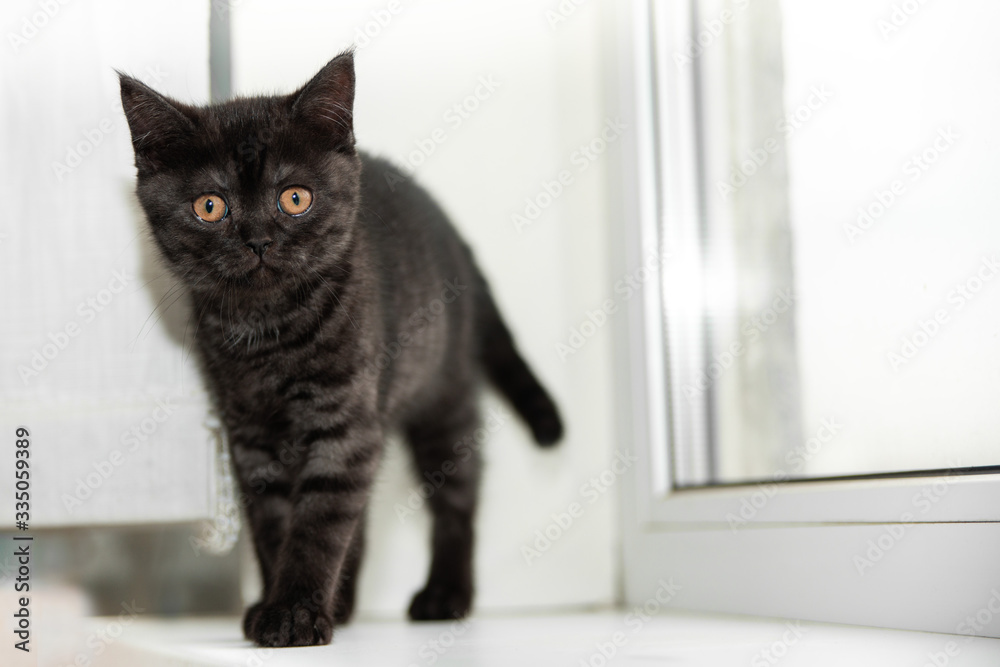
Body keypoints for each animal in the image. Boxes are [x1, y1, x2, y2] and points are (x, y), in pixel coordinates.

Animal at [117, 52, 564, 648]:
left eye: (294, 198)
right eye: (210, 206)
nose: (258, 240)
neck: (269, 333)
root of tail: (454, 239)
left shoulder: (343, 422)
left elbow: (319, 522)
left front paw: (294, 613)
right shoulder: (250, 437)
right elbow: (275, 523)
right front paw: (276, 604)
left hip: (442, 397)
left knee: (457, 499)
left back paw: (446, 595)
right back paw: (347, 602)